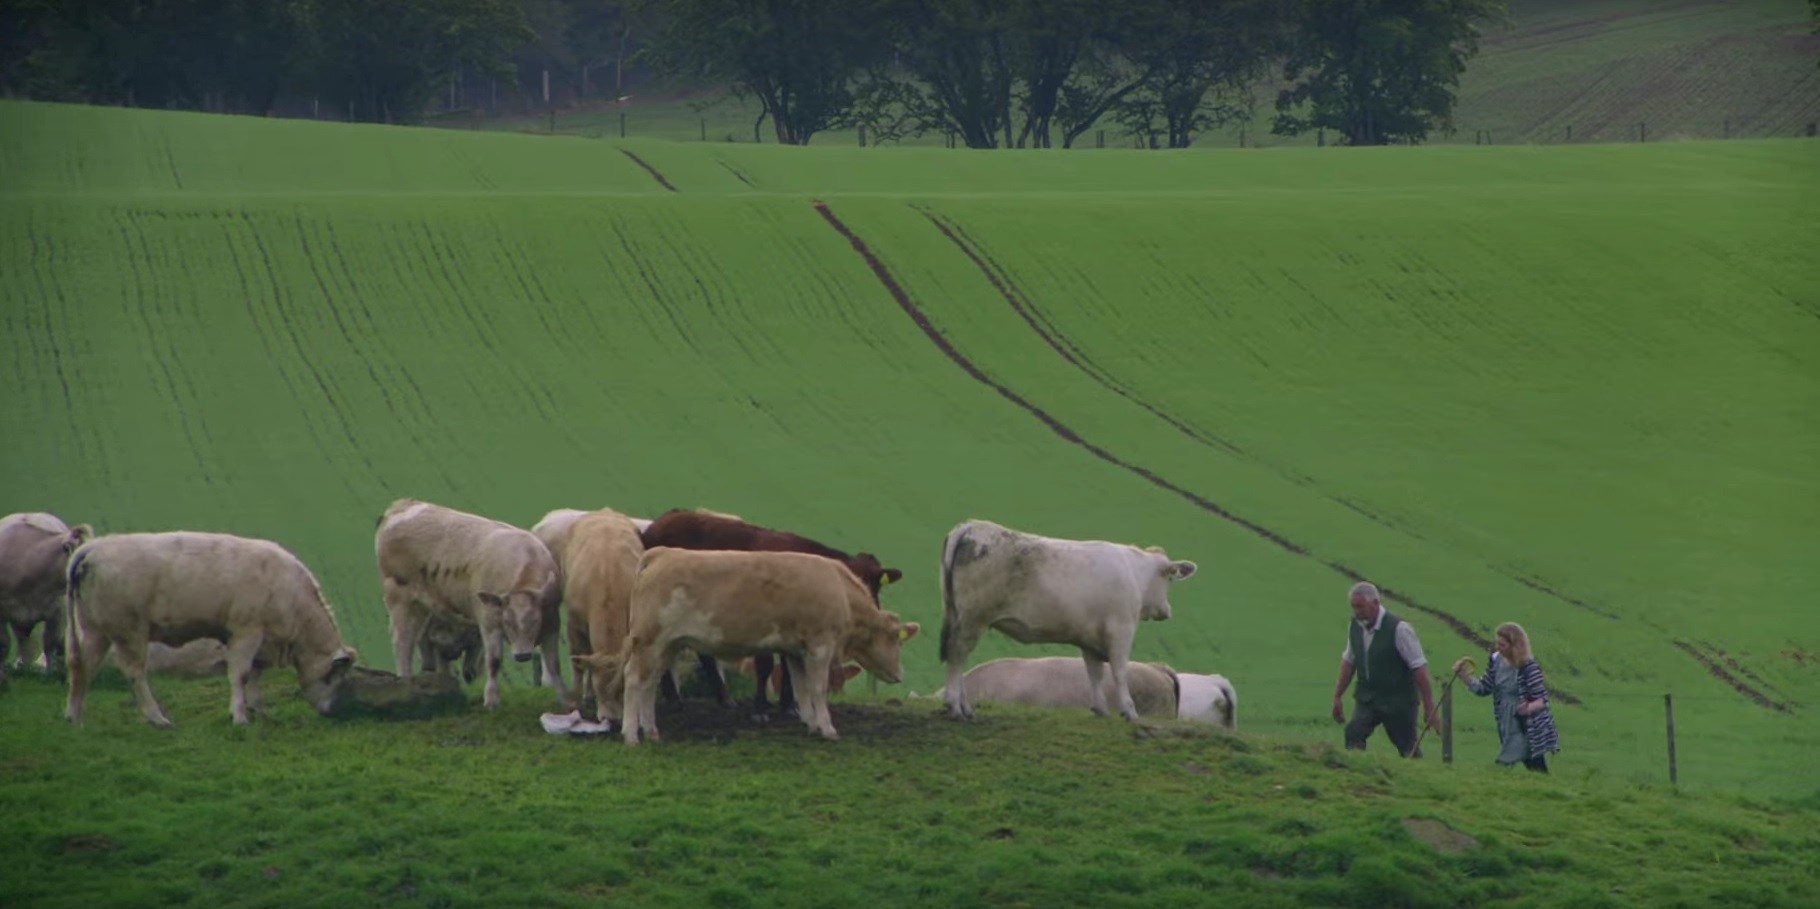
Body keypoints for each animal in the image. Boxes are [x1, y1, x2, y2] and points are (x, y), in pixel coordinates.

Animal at [0, 513, 93, 677]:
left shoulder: (57, 612)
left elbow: (51, 642)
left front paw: (50, 672)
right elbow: (3, 644)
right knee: (22, 639)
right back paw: (21, 664)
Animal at [65, 531, 354, 728]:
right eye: (332, 678)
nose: (331, 712)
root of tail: (95, 546)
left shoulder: (262, 641)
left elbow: (256, 675)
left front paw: (258, 709)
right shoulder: (245, 633)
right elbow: (241, 674)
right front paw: (239, 716)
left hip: (95, 631)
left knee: (82, 667)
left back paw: (75, 718)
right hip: (130, 632)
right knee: (134, 673)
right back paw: (157, 718)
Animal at [374, 502, 560, 706]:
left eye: (535, 621)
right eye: (506, 622)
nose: (522, 655)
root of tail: (405, 504)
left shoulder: (552, 623)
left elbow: (553, 663)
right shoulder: (488, 620)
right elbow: (493, 661)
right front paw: (491, 700)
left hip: (423, 609)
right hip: (400, 598)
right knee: (403, 642)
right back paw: (405, 684)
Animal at [578, 546, 924, 746]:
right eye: (894, 638)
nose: (899, 675)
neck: (839, 590)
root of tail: (662, 553)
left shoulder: (796, 650)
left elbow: (801, 689)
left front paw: (812, 724)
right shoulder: (820, 646)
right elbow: (817, 688)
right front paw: (827, 728)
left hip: (667, 645)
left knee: (649, 684)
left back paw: (651, 730)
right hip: (651, 640)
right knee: (635, 680)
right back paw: (631, 735)